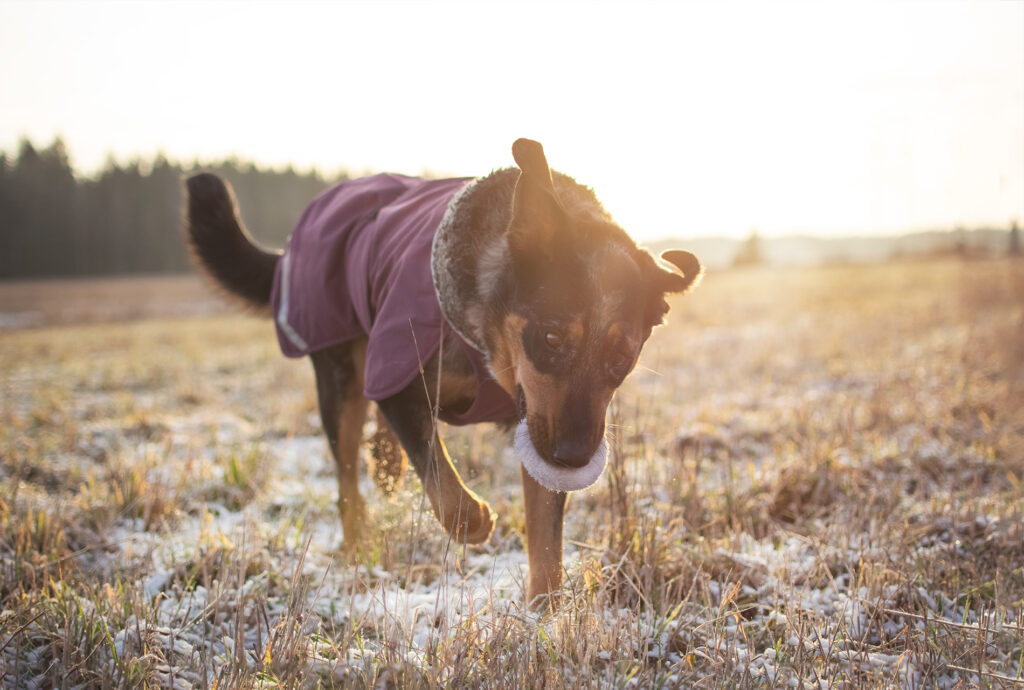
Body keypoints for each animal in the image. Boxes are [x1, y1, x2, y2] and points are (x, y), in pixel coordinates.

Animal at [184, 138, 700, 601]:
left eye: (622, 357)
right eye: (551, 338)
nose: (573, 458)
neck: (488, 343)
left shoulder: (535, 423)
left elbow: (546, 542)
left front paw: (544, 618)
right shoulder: (398, 379)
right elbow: (442, 480)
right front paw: (473, 520)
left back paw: (386, 467)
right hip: (339, 374)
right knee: (347, 478)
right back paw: (357, 550)